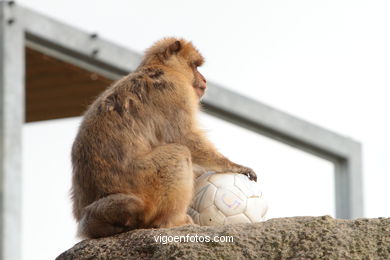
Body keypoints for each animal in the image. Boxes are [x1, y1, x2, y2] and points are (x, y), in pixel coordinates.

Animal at [71, 37, 258, 239]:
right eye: (195, 66)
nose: (204, 79)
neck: (163, 67)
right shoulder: (176, 91)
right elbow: (184, 137)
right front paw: (234, 166)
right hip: (142, 182)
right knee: (178, 152)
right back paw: (172, 221)